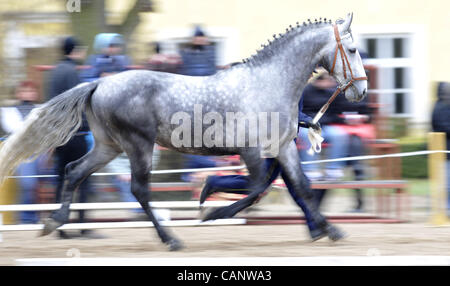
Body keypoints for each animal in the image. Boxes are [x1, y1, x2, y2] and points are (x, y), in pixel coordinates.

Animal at [0, 13, 368, 250]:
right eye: (351, 50)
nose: (361, 93)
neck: (269, 82)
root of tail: (99, 83)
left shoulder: (283, 148)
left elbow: (301, 187)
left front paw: (331, 230)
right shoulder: (251, 150)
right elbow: (255, 188)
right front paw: (211, 207)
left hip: (109, 146)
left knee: (74, 171)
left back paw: (54, 222)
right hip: (138, 145)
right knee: (138, 190)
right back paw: (171, 239)